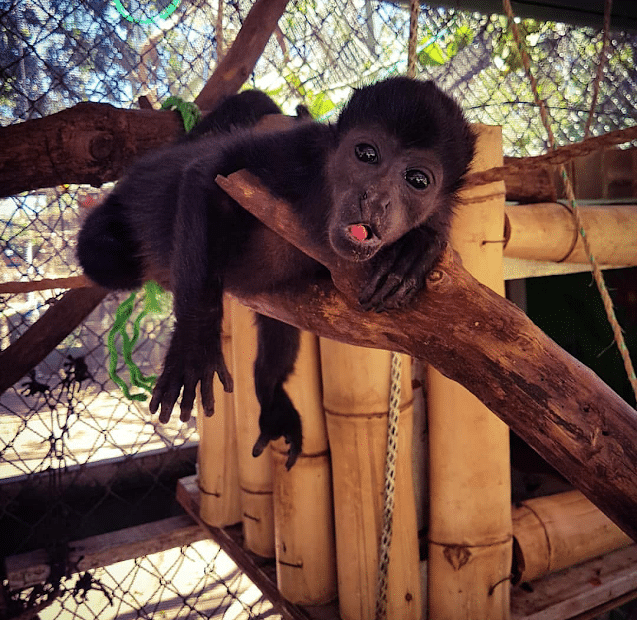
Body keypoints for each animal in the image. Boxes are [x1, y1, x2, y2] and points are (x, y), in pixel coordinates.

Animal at [78, 76, 472, 464]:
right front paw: (195, 343)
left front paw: (414, 249)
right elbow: (206, 175)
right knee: (106, 257)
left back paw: (270, 394)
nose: (375, 198)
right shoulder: (297, 154)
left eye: (417, 180)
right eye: (366, 154)